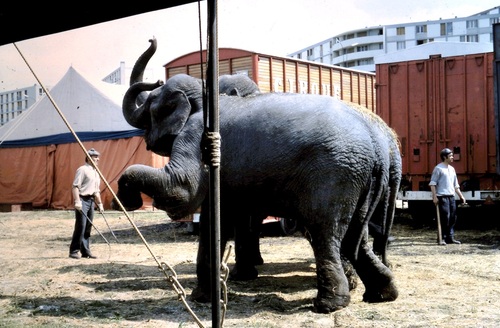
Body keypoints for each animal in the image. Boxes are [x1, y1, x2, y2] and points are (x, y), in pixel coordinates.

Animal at [113, 38, 402, 312]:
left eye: (151, 106)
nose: (151, 40)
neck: (205, 94)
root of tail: (378, 146)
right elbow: (214, 216)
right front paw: (204, 297)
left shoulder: (196, 134)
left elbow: (182, 189)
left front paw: (129, 200)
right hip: (360, 182)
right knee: (356, 238)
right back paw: (382, 294)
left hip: (335, 177)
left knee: (325, 232)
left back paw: (328, 305)